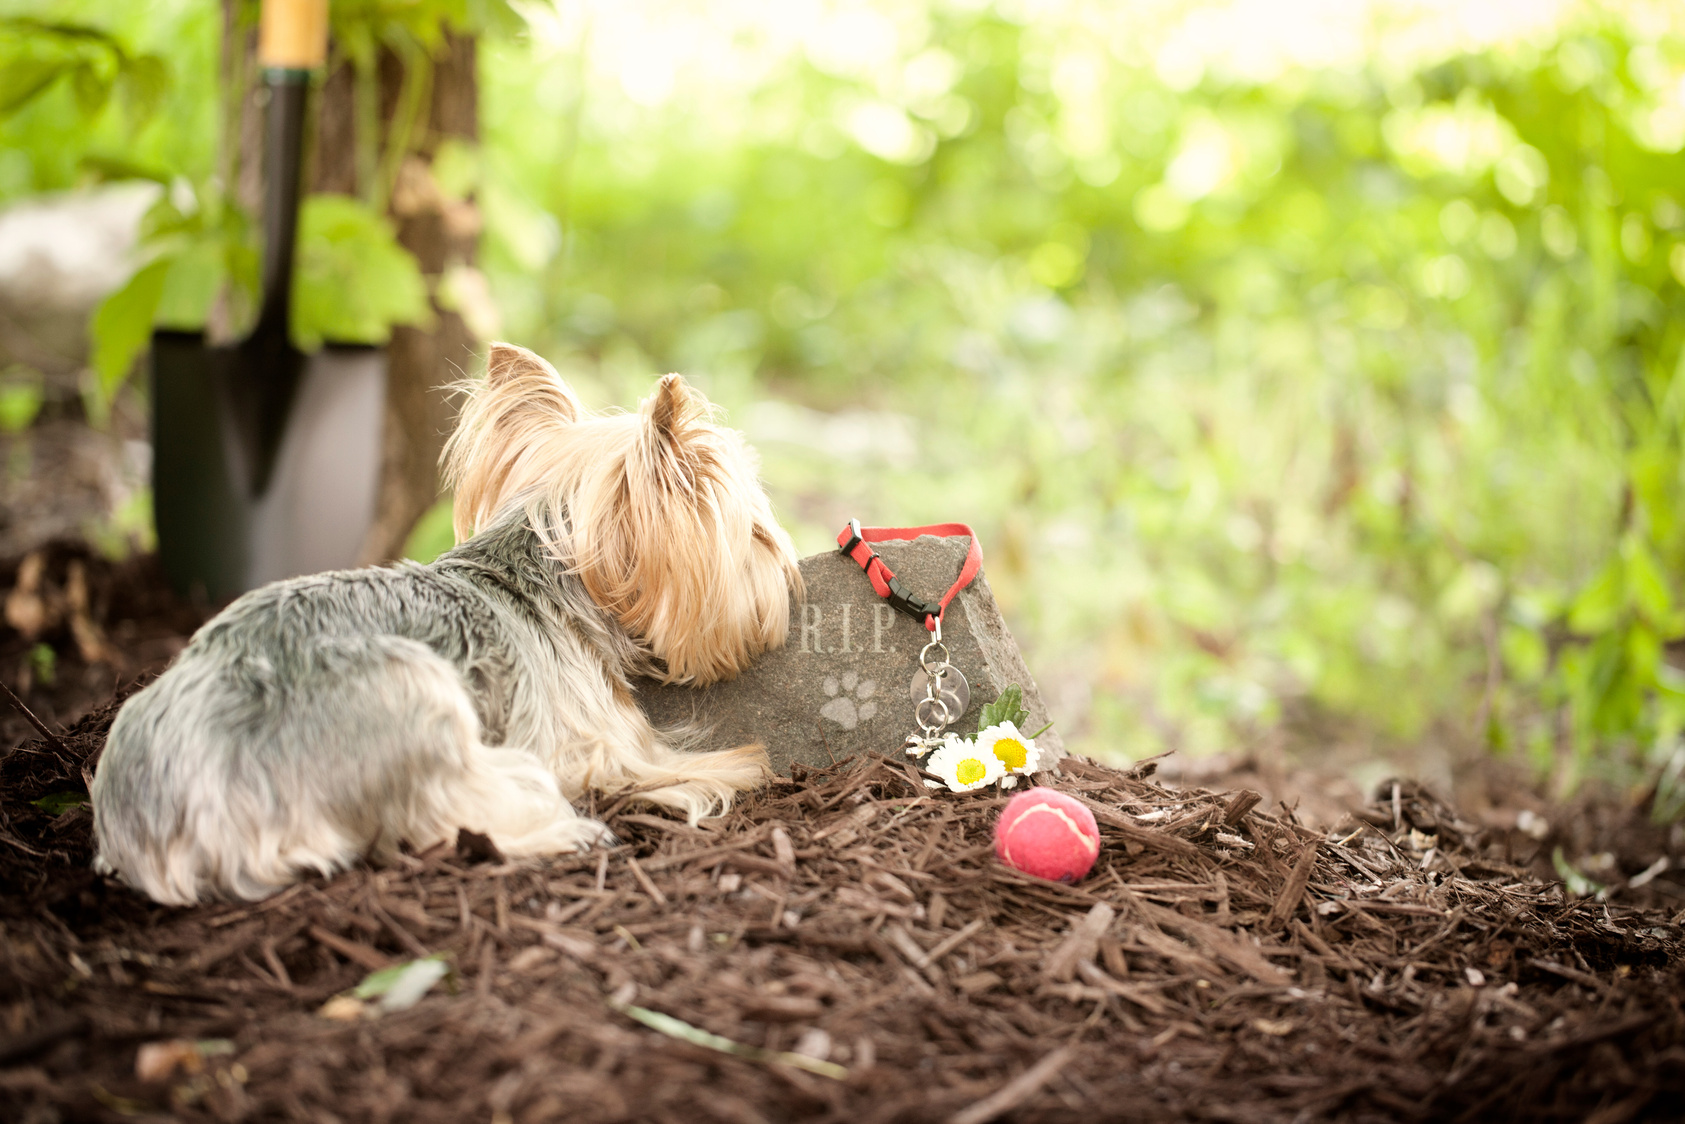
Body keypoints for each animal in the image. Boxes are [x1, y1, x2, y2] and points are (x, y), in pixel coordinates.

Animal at [88, 343, 798, 903]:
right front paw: (737, 768)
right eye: (758, 535)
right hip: (413, 693)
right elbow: (679, 765)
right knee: (453, 815)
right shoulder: (597, 743)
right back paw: (568, 830)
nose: (787, 576)